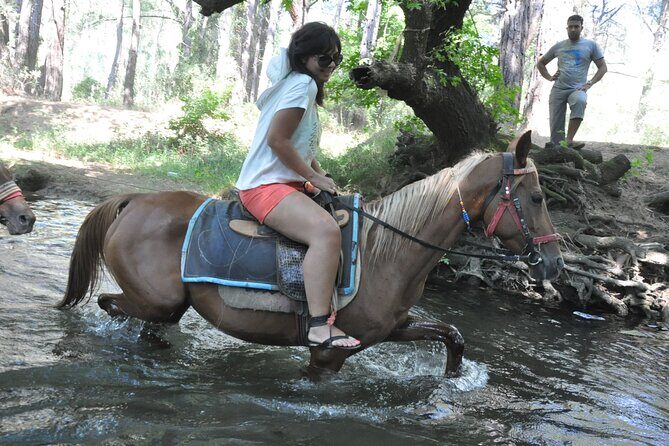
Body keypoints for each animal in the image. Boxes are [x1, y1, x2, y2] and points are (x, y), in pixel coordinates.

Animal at [58, 131, 563, 377]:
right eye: (538, 198)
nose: (555, 263)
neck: (387, 253)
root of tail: (134, 200)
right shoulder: (328, 356)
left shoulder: (393, 328)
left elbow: (452, 335)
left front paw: (453, 378)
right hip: (157, 301)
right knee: (111, 304)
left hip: (170, 305)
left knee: (139, 321)